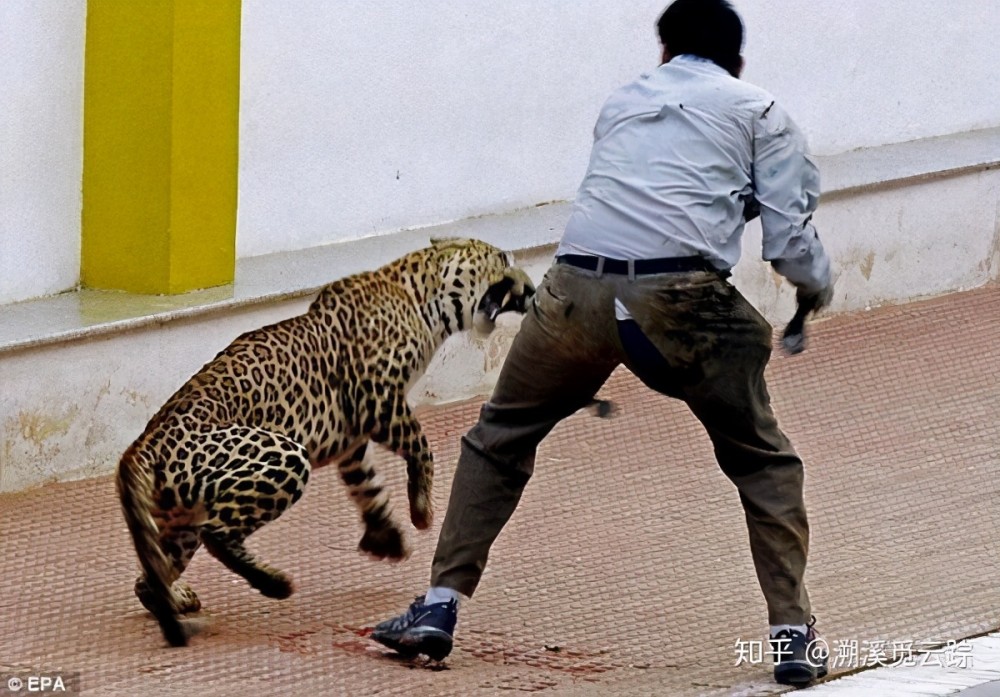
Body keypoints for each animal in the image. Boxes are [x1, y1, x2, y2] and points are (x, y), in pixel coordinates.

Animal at [115, 237, 540, 644]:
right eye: (503, 258)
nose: (533, 289)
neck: (421, 299)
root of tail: (140, 448)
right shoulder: (377, 399)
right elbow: (421, 446)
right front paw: (421, 510)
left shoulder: (353, 433)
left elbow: (366, 483)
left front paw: (385, 537)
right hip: (283, 456)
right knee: (216, 535)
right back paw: (275, 583)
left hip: (179, 518)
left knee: (151, 575)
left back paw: (175, 598)